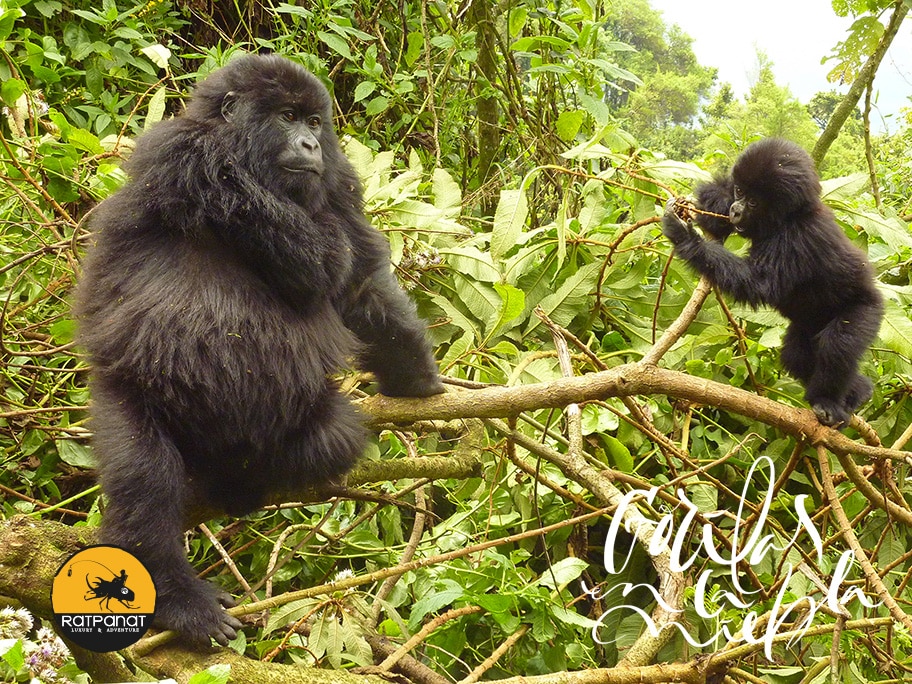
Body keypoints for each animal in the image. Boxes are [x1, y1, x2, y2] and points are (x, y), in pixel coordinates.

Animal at [75, 53, 446, 648]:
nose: (311, 144)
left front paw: (416, 377)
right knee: (144, 473)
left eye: (315, 122)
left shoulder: (338, 183)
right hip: (124, 394)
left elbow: (358, 279)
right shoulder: (189, 156)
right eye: (289, 117)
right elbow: (315, 253)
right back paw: (178, 597)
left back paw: (243, 480)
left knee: (332, 438)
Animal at [664, 138, 884, 428]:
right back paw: (857, 392)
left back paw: (828, 402)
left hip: (868, 309)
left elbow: (757, 284)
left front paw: (685, 237)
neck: (789, 217)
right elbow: (717, 223)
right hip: (808, 325)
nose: (735, 210)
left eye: (753, 202)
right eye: (739, 191)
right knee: (797, 355)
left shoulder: (799, 237)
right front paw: (708, 202)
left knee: (840, 345)